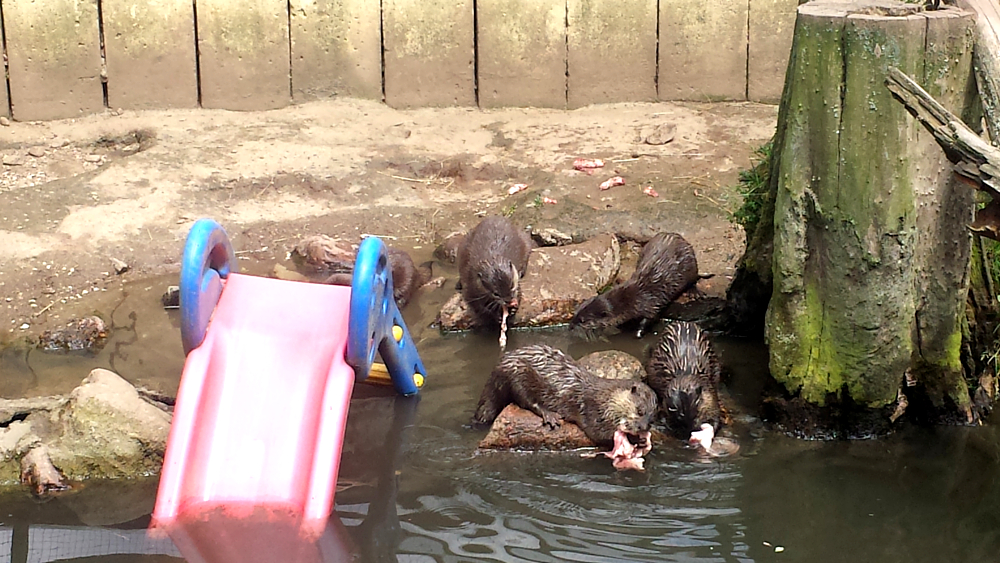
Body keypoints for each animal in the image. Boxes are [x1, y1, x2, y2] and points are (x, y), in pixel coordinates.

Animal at [474, 346, 660, 470]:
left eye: (652, 419)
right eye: (640, 410)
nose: (642, 428)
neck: (607, 399)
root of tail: (497, 369)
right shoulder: (594, 413)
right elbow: (600, 434)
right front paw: (636, 439)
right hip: (516, 374)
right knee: (526, 401)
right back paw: (550, 416)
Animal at [572, 232, 704, 338]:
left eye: (582, 321)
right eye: (575, 313)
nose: (570, 327)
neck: (630, 299)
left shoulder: (650, 304)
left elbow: (649, 318)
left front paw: (638, 333)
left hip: (692, 265)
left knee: (694, 279)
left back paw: (694, 292)